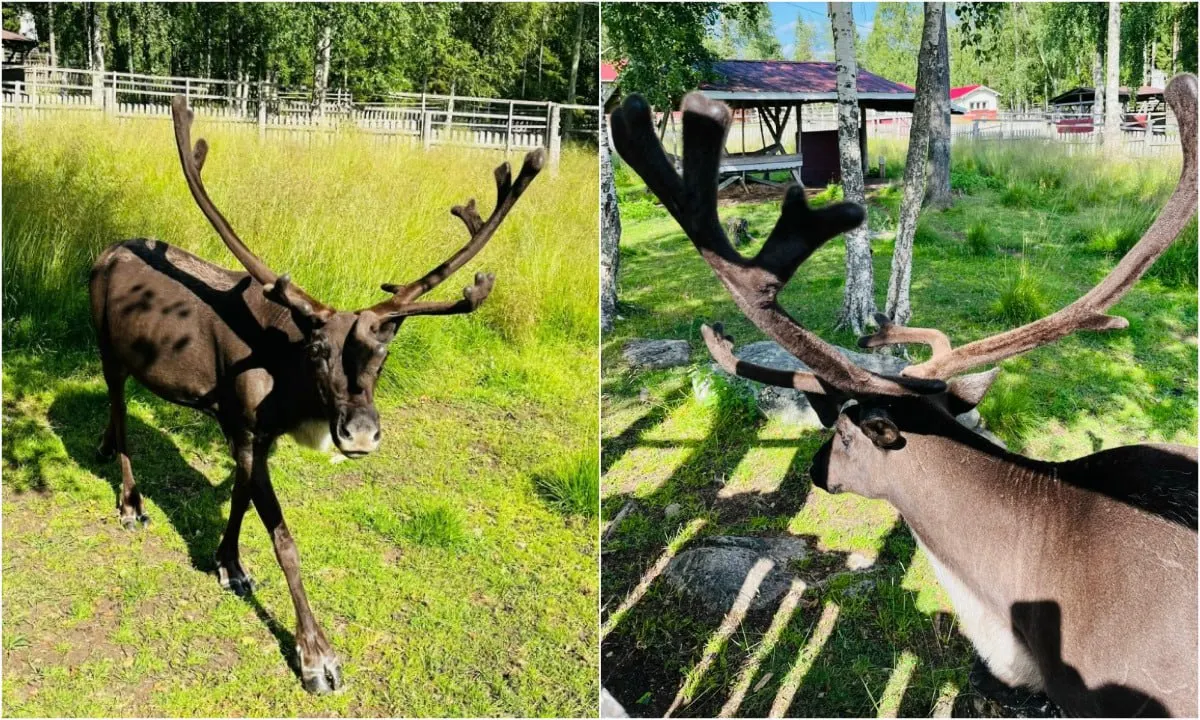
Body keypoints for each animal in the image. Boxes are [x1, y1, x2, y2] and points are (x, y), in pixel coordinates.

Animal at [88, 96, 544, 694]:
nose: (361, 434)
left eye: (384, 352)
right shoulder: (244, 424)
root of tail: (100, 254)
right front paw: (317, 657)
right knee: (120, 410)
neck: (289, 386)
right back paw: (130, 502)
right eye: (318, 350)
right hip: (108, 349)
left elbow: (240, 498)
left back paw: (101, 450)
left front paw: (229, 564)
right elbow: (284, 540)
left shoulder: (256, 436)